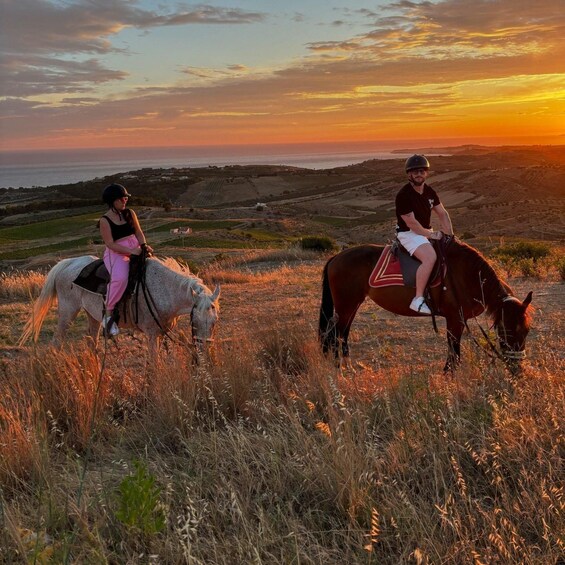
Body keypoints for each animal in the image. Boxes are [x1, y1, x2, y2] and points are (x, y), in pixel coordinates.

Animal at [19, 254, 219, 352]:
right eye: (195, 320)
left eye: (214, 322)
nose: (204, 348)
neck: (163, 288)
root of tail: (68, 263)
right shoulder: (152, 335)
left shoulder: (162, 333)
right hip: (68, 312)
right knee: (57, 342)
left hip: (93, 316)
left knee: (92, 343)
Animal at [320, 237, 532, 372]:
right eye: (507, 330)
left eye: (527, 331)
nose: (517, 369)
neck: (467, 275)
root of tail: (336, 258)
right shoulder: (455, 319)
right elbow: (454, 353)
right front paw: (449, 376)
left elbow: (454, 352)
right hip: (346, 305)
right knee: (335, 335)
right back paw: (339, 369)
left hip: (352, 304)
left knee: (342, 334)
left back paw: (347, 366)